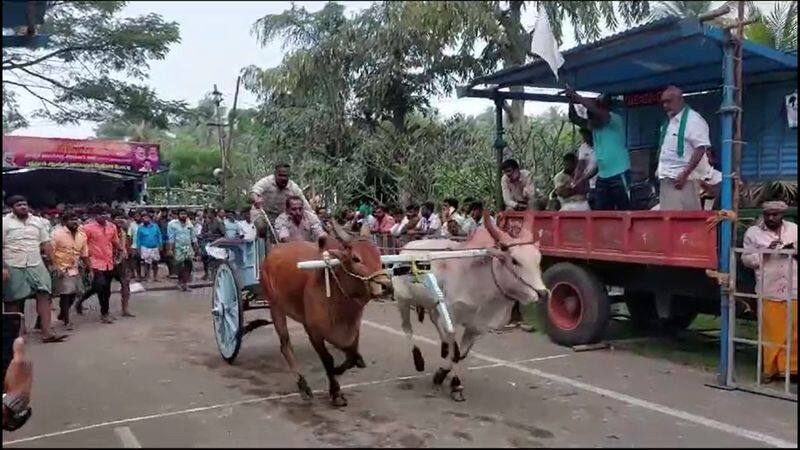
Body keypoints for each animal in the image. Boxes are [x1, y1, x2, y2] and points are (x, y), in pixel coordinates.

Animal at [260, 223, 390, 406]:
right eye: (356, 258)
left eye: (378, 254)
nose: (386, 285)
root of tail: (272, 252)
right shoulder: (314, 332)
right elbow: (328, 360)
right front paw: (336, 392)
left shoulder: (353, 329)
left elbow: (352, 356)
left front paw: (344, 368)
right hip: (275, 307)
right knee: (285, 346)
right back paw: (303, 385)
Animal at [390, 212, 548, 400]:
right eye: (515, 261)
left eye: (539, 259)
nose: (543, 294)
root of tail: (407, 247)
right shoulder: (451, 318)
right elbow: (457, 353)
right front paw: (452, 382)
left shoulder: (476, 327)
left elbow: (462, 354)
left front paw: (446, 377)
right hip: (402, 300)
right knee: (407, 328)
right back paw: (418, 359)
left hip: (433, 304)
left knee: (435, 323)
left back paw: (443, 347)